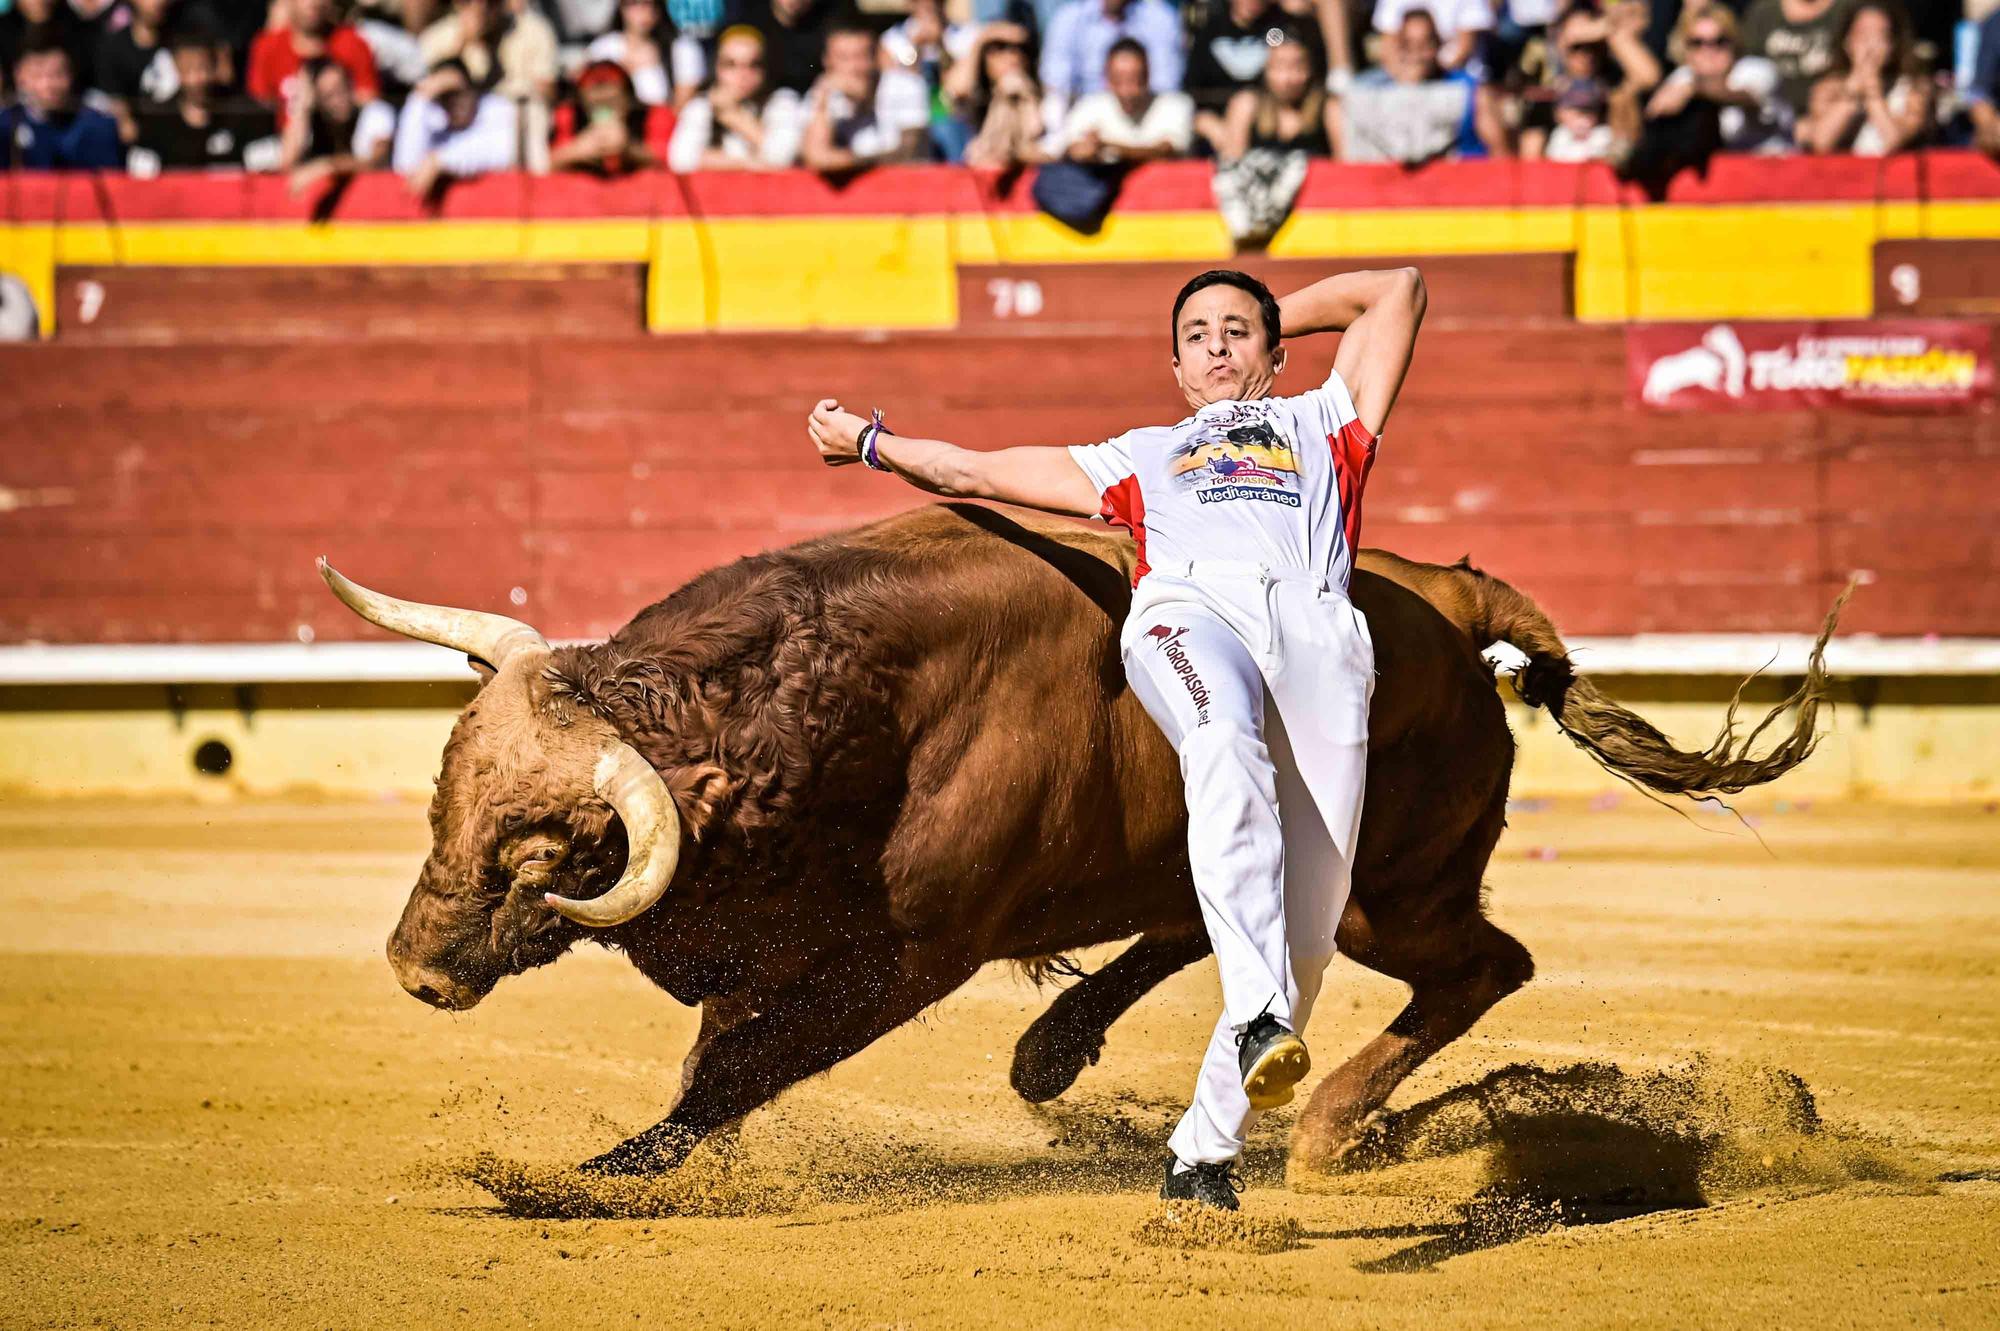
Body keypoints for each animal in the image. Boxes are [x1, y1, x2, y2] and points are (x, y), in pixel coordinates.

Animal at [328, 499, 1840, 1175]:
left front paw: (597, 1179)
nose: (412, 967)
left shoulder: (904, 958)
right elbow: (721, 1051)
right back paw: (1056, 1051)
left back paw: (1328, 1128)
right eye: (443, 790)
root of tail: (1456, 598)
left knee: (1483, 964)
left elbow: (739, 1068)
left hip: (1391, 888)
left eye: (550, 853)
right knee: (1200, 918)